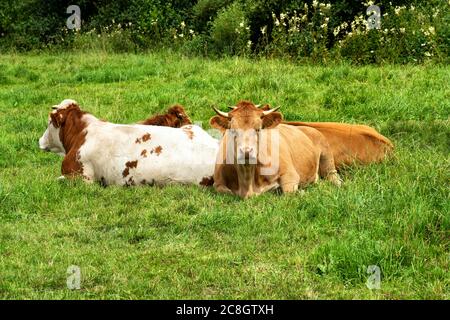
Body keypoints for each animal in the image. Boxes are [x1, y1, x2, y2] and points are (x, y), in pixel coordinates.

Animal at [209, 101, 340, 199]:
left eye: (258, 129)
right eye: (233, 130)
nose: (246, 151)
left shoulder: (290, 174)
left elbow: (289, 193)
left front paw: (301, 192)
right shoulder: (218, 183)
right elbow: (225, 192)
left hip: (326, 155)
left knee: (333, 176)